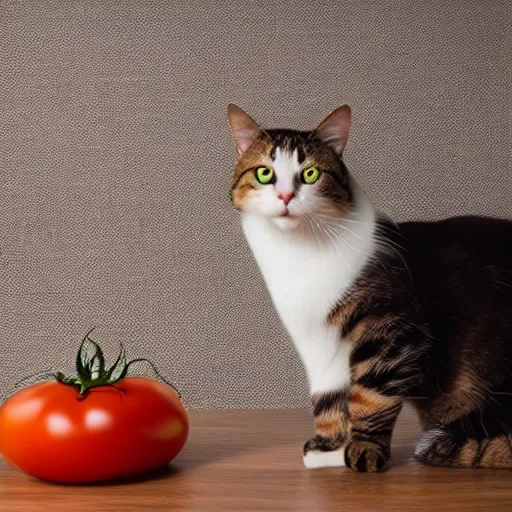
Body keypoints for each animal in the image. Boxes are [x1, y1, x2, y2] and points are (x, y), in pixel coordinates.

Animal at [227, 104, 512, 472]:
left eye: (310, 174)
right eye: (264, 173)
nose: (286, 196)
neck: (298, 254)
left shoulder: (392, 331)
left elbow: (371, 394)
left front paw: (364, 450)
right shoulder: (317, 343)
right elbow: (328, 397)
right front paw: (328, 448)